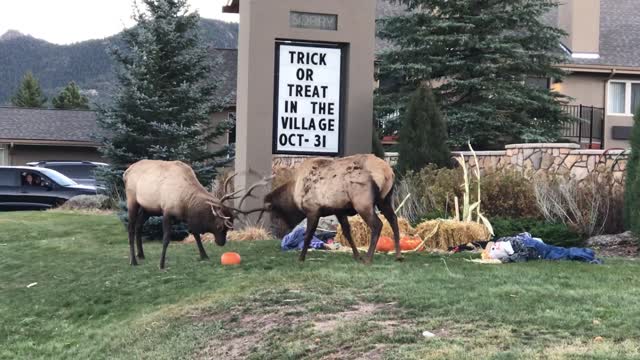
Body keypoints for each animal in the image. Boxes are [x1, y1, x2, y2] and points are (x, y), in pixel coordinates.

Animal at [124, 159, 254, 268]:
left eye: (229, 228)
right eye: (219, 226)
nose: (221, 243)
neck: (186, 201)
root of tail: (126, 172)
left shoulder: (186, 216)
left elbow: (195, 234)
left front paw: (204, 255)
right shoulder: (167, 211)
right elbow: (166, 239)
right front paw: (161, 264)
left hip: (148, 208)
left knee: (138, 226)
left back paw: (140, 254)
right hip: (132, 200)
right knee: (130, 228)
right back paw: (133, 260)